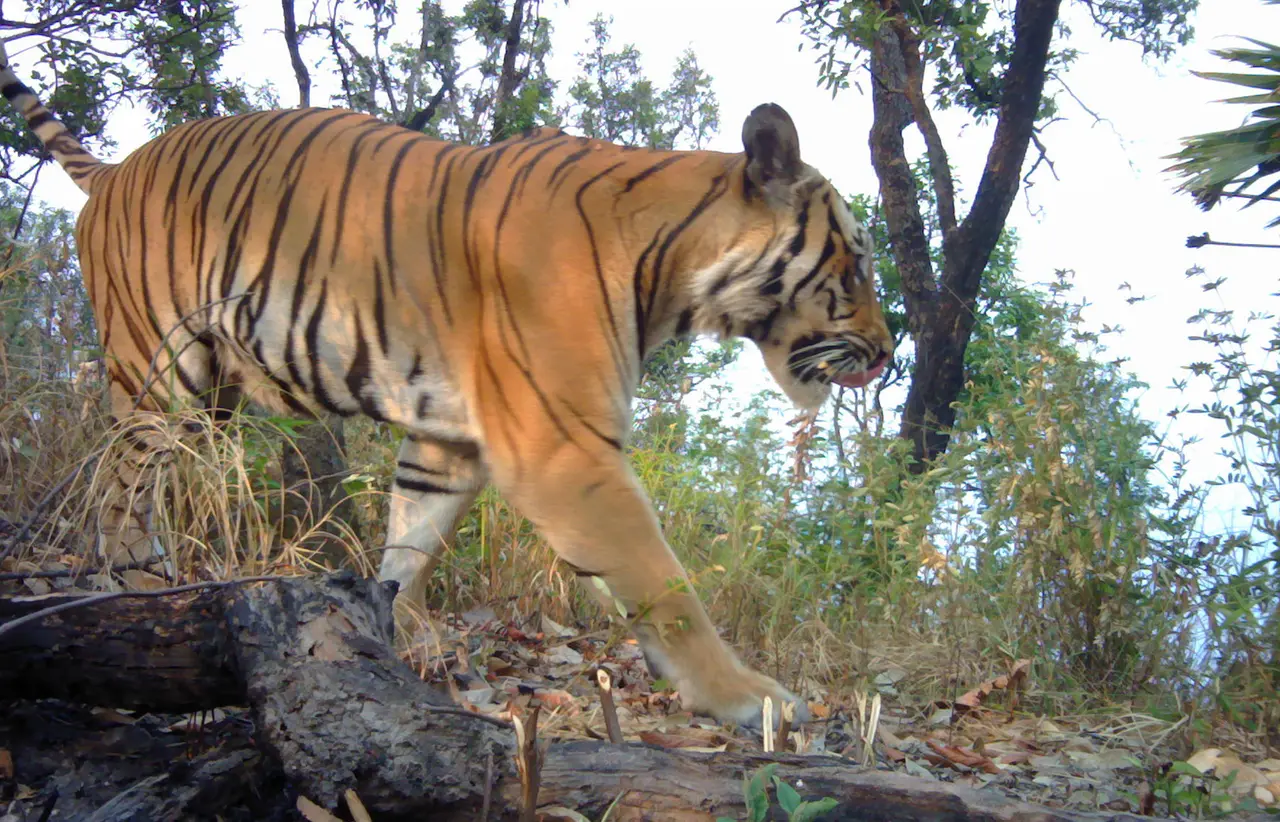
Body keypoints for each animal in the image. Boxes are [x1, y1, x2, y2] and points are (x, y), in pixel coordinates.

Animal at [0, 41, 892, 728]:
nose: (887, 354)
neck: (671, 267)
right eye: (855, 265)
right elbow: (664, 585)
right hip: (161, 377)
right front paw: (751, 698)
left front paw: (390, 634)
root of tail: (115, 168)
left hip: (211, 396)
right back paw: (136, 587)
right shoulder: (566, 451)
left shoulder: (446, 440)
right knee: (117, 494)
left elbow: (411, 542)